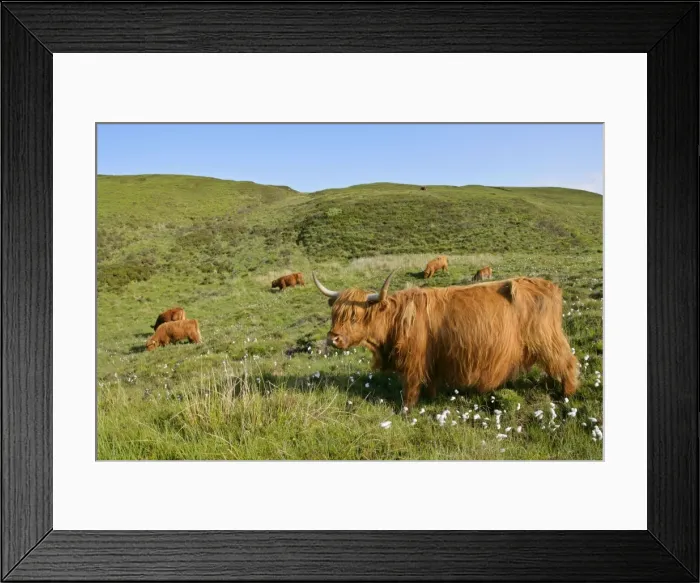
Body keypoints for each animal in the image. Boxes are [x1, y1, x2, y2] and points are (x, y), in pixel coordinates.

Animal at [312, 270, 579, 409]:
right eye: (334, 314)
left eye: (354, 316)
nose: (333, 338)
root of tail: (549, 285)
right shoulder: (433, 359)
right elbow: (430, 383)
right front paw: (431, 399)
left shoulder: (413, 362)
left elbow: (410, 388)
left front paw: (407, 411)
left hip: (547, 340)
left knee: (567, 363)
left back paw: (567, 394)